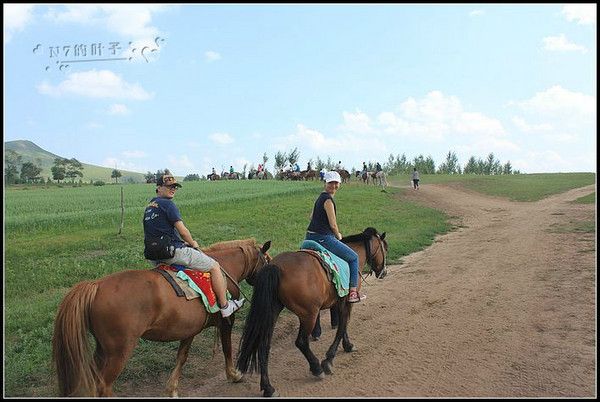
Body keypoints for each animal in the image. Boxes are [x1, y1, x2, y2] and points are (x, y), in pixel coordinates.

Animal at [51, 239, 272, 396]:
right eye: (268, 261)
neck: (225, 269)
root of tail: (95, 286)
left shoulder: (190, 329)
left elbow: (182, 356)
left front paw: (172, 389)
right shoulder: (227, 321)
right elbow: (227, 348)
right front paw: (234, 374)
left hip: (103, 348)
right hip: (118, 351)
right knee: (103, 385)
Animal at [237, 228, 386, 398]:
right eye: (385, 248)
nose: (384, 272)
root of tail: (276, 267)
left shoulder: (340, 302)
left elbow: (343, 326)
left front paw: (347, 345)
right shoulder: (348, 301)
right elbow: (342, 326)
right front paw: (329, 359)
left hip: (273, 311)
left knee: (263, 345)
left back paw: (268, 387)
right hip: (309, 315)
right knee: (301, 341)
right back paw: (317, 368)